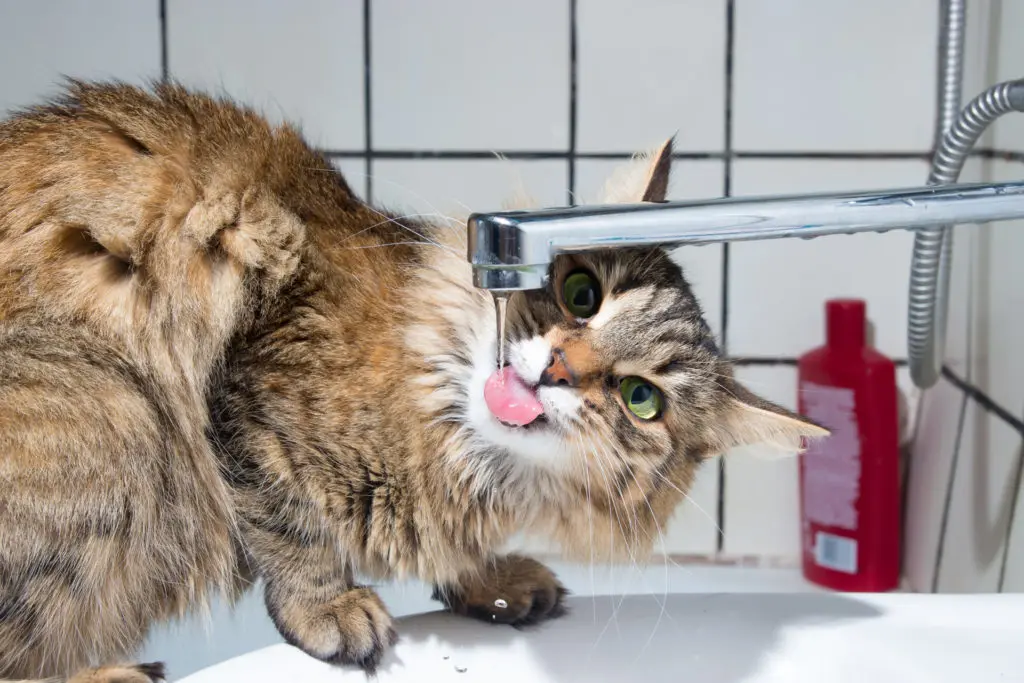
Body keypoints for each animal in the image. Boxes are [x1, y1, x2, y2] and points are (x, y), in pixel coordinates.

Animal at [0, 82, 823, 679]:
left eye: (641, 398)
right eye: (581, 293)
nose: (556, 369)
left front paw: (493, 580)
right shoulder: (251, 387)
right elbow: (292, 528)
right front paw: (330, 607)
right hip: (123, 416)